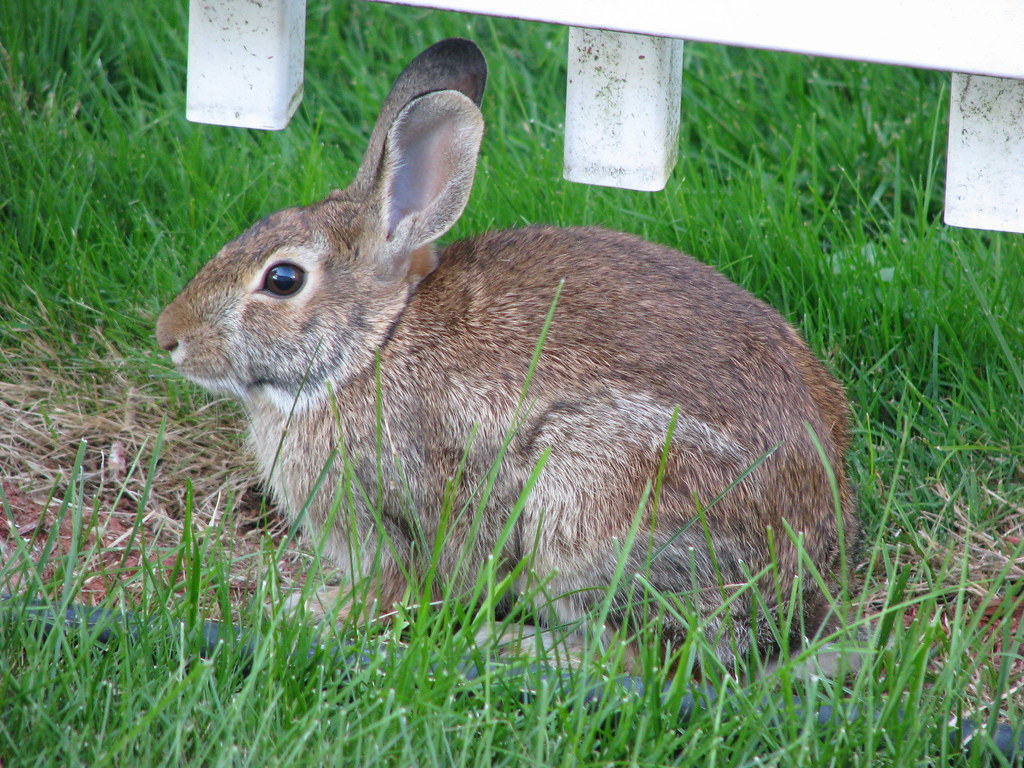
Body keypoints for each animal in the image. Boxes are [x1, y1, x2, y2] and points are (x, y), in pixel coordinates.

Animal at [156, 38, 859, 674]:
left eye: (283, 280)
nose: (169, 336)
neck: (373, 345)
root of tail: (794, 593)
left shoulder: (395, 516)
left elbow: (389, 589)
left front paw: (309, 611)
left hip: (588, 509)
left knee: (638, 658)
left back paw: (504, 646)